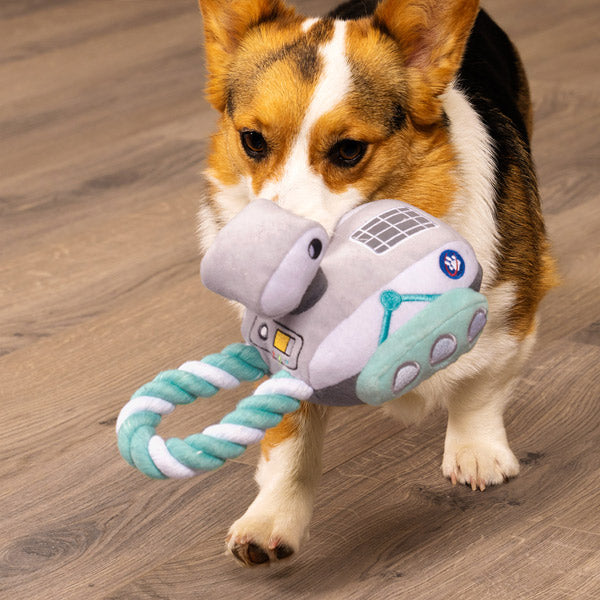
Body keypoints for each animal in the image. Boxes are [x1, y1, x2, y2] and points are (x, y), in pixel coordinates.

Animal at [197, 0, 556, 564]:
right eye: (252, 141)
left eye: (348, 151)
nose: (264, 259)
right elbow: (290, 439)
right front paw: (270, 518)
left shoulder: (514, 307)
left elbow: (479, 387)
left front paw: (476, 452)